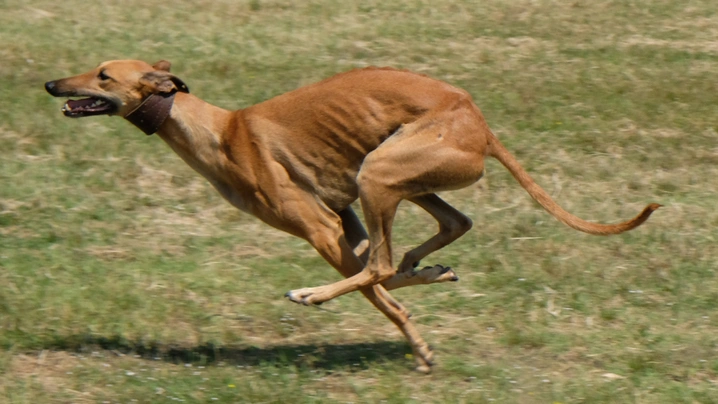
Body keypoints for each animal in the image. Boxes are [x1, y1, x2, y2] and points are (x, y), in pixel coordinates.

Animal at [46, 58, 664, 370]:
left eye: (103, 76)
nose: (51, 83)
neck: (222, 131)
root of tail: (480, 122)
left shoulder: (321, 230)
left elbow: (378, 288)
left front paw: (419, 346)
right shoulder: (346, 218)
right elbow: (381, 271)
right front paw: (429, 284)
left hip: (380, 173)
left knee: (383, 265)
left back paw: (312, 294)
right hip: (396, 180)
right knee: (444, 229)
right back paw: (427, 266)